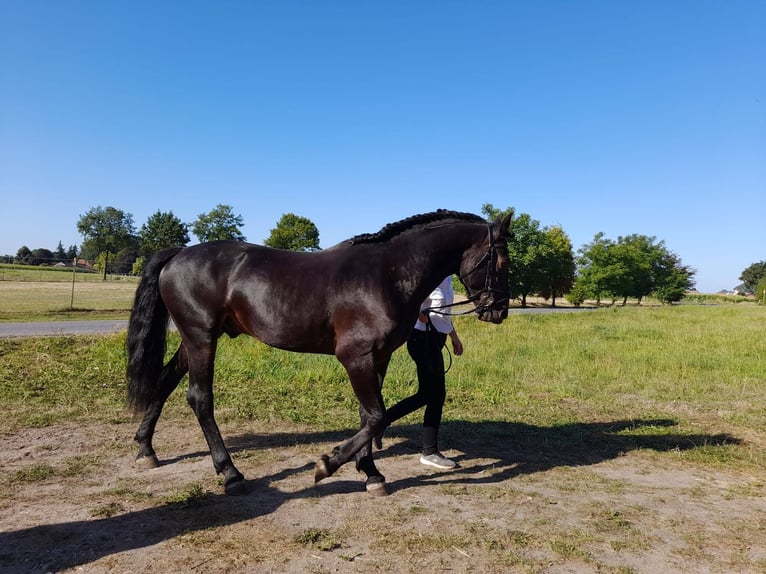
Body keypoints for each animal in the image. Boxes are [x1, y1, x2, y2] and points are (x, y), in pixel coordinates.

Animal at [126, 209, 512, 496]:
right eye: (502, 262)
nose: (499, 311)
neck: (387, 274)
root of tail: (179, 253)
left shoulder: (378, 357)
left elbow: (369, 414)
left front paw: (371, 473)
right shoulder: (355, 356)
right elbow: (376, 416)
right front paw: (329, 465)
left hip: (195, 339)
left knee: (165, 382)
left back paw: (146, 449)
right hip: (201, 337)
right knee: (199, 398)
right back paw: (231, 473)